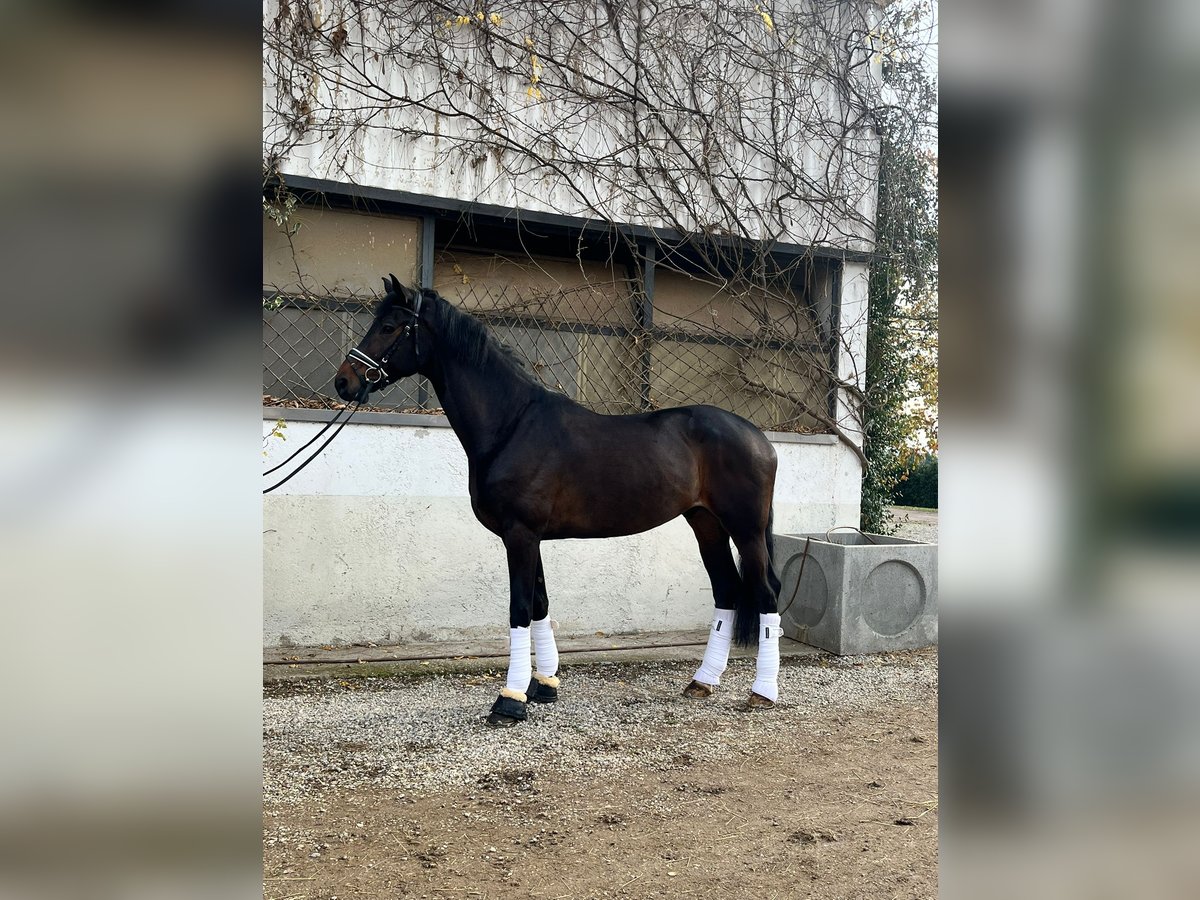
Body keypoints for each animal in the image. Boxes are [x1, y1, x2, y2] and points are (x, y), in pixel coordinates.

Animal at [334, 276, 784, 727]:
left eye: (389, 327)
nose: (344, 382)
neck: (512, 424)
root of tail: (759, 438)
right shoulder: (530, 537)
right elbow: (540, 604)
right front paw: (544, 686)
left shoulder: (520, 535)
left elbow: (519, 609)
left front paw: (510, 700)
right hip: (705, 524)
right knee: (726, 592)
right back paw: (702, 682)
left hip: (745, 530)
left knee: (765, 596)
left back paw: (762, 692)